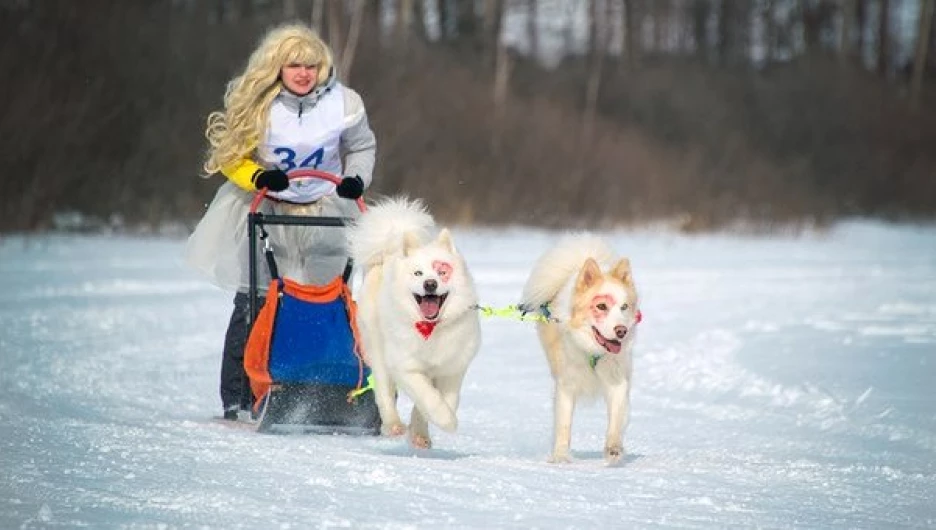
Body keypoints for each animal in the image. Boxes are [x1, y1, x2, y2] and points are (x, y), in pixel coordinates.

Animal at [352, 195, 482, 446]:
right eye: (418, 273)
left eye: (441, 272)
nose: (430, 284)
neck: (431, 328)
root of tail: (387, 254)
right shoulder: (407, 367)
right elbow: (429, 398)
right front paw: (446, 420)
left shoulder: (452, 368)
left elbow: (444, 400)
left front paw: (422, 431)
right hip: (379, 352)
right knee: (383, 393)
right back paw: (393, 426)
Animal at [520, 233, 644, 460]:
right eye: (601, 306)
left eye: (624, 307)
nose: (621, 331)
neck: (593, 352)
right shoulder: (565, 385)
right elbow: (564, 425)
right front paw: (560, 457)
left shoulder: (617, 381)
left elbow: (616, 419)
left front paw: (614, 449)